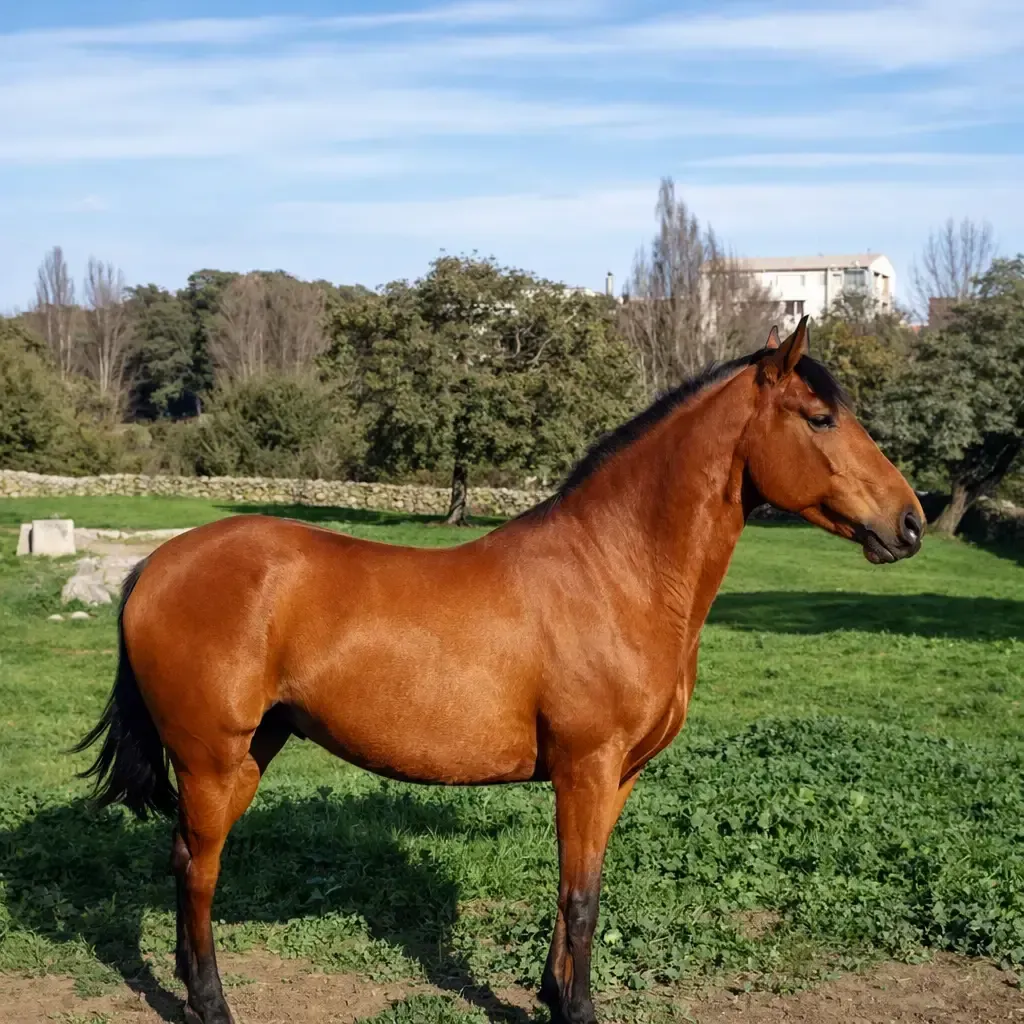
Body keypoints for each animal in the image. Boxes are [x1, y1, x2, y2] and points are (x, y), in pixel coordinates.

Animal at [75, 318, 924, 1024]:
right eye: (820, 419)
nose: (910, 524)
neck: (615, 571)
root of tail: (154, 566)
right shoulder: (585, 768)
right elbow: (581, 899)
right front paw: (574, 1012)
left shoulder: (618, 778)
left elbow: (580, 890)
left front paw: (551, 994)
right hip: (212, 760)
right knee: (199, 868)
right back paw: (213, 1005)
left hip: (252, 751)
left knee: (187, 860)